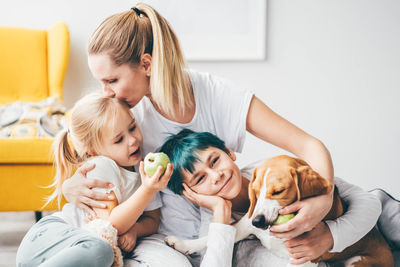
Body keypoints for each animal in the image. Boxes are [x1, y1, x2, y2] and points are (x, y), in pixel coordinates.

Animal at [166, 155, 394, 267]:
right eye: (255, 190)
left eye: (278, 191)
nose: (257, 221)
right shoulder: (243, 227)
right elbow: (210, 237)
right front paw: (183, 244)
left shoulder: (303, 260)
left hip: (358, 264)